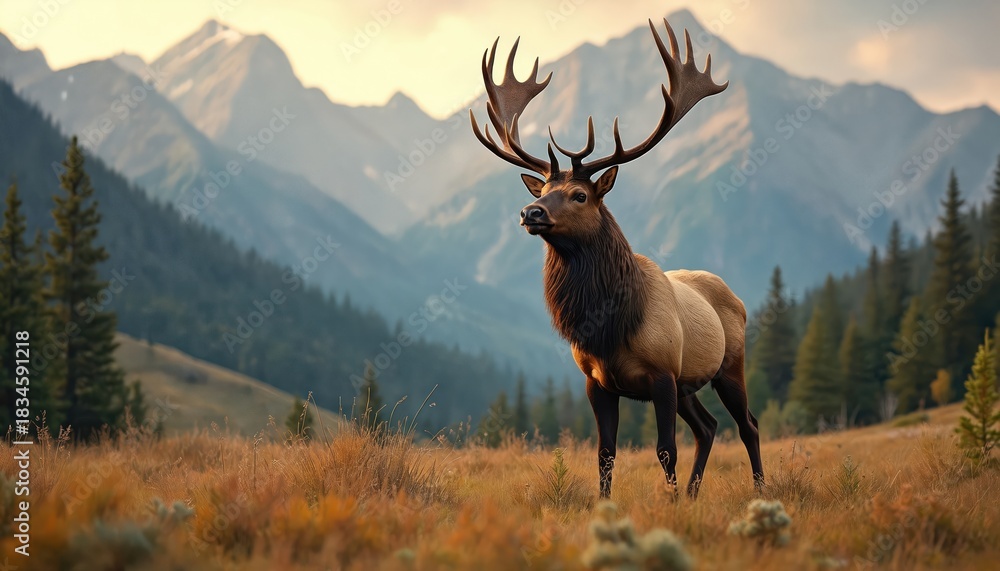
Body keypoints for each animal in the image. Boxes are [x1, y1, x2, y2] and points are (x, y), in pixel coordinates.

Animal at [469, 18, 763, 499]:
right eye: (542, 189)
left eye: (580, 195)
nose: (530, 212)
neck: (609, 326)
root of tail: (736, 297)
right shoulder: (597, 382)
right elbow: (605, 453)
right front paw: (610, 504)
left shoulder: (663, 374)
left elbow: (665, 450)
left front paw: (670, 504)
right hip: (690, 385)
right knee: (708, 427)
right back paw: (695, 493)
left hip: (729, 365)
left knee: (747, 425)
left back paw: (757, 489)